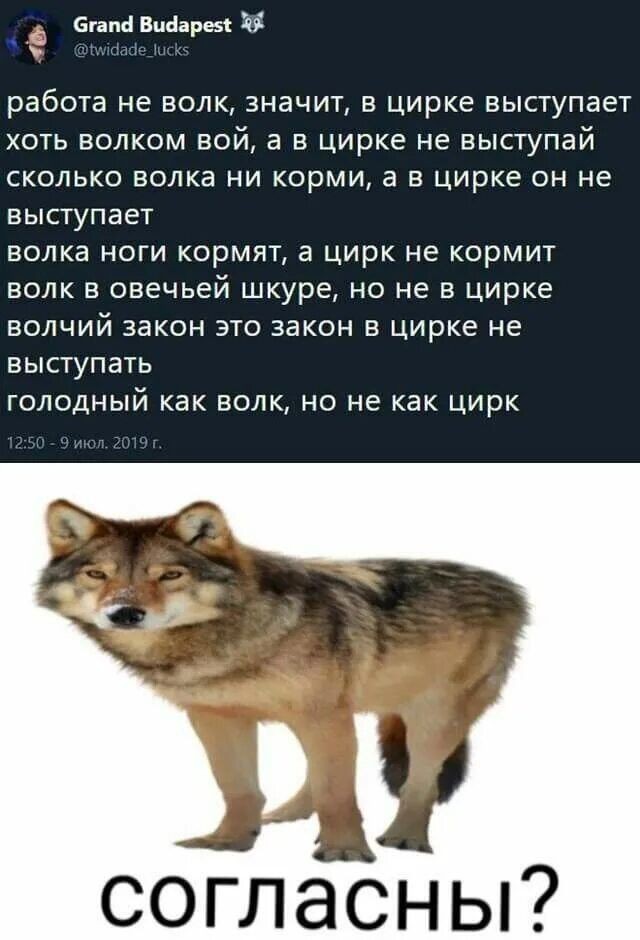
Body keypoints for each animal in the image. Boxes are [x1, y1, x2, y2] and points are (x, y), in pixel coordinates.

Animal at [38, 499, 527, 862]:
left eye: (170, 575)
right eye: (98, 574)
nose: (124, 613)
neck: (233, 642)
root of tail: (512, 588)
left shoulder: (321, 716)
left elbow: (337, 792)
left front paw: (346, 853)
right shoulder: (217, 717)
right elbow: (239, 788)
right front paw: (228, 843)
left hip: (431, 719)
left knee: (419, 781)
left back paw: (405, 838)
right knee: (318, 773)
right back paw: (289, 816)